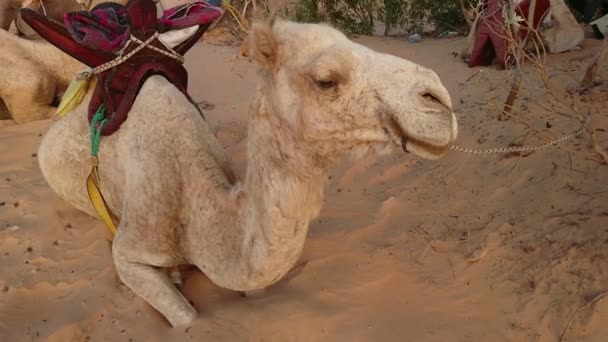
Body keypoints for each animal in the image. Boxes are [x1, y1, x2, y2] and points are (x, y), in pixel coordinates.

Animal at [36, 18, 456, 326]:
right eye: (326, 80)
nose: (440, 101)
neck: (196, 208)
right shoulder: (131, 250)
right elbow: (188, 318)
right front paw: (175, 279)